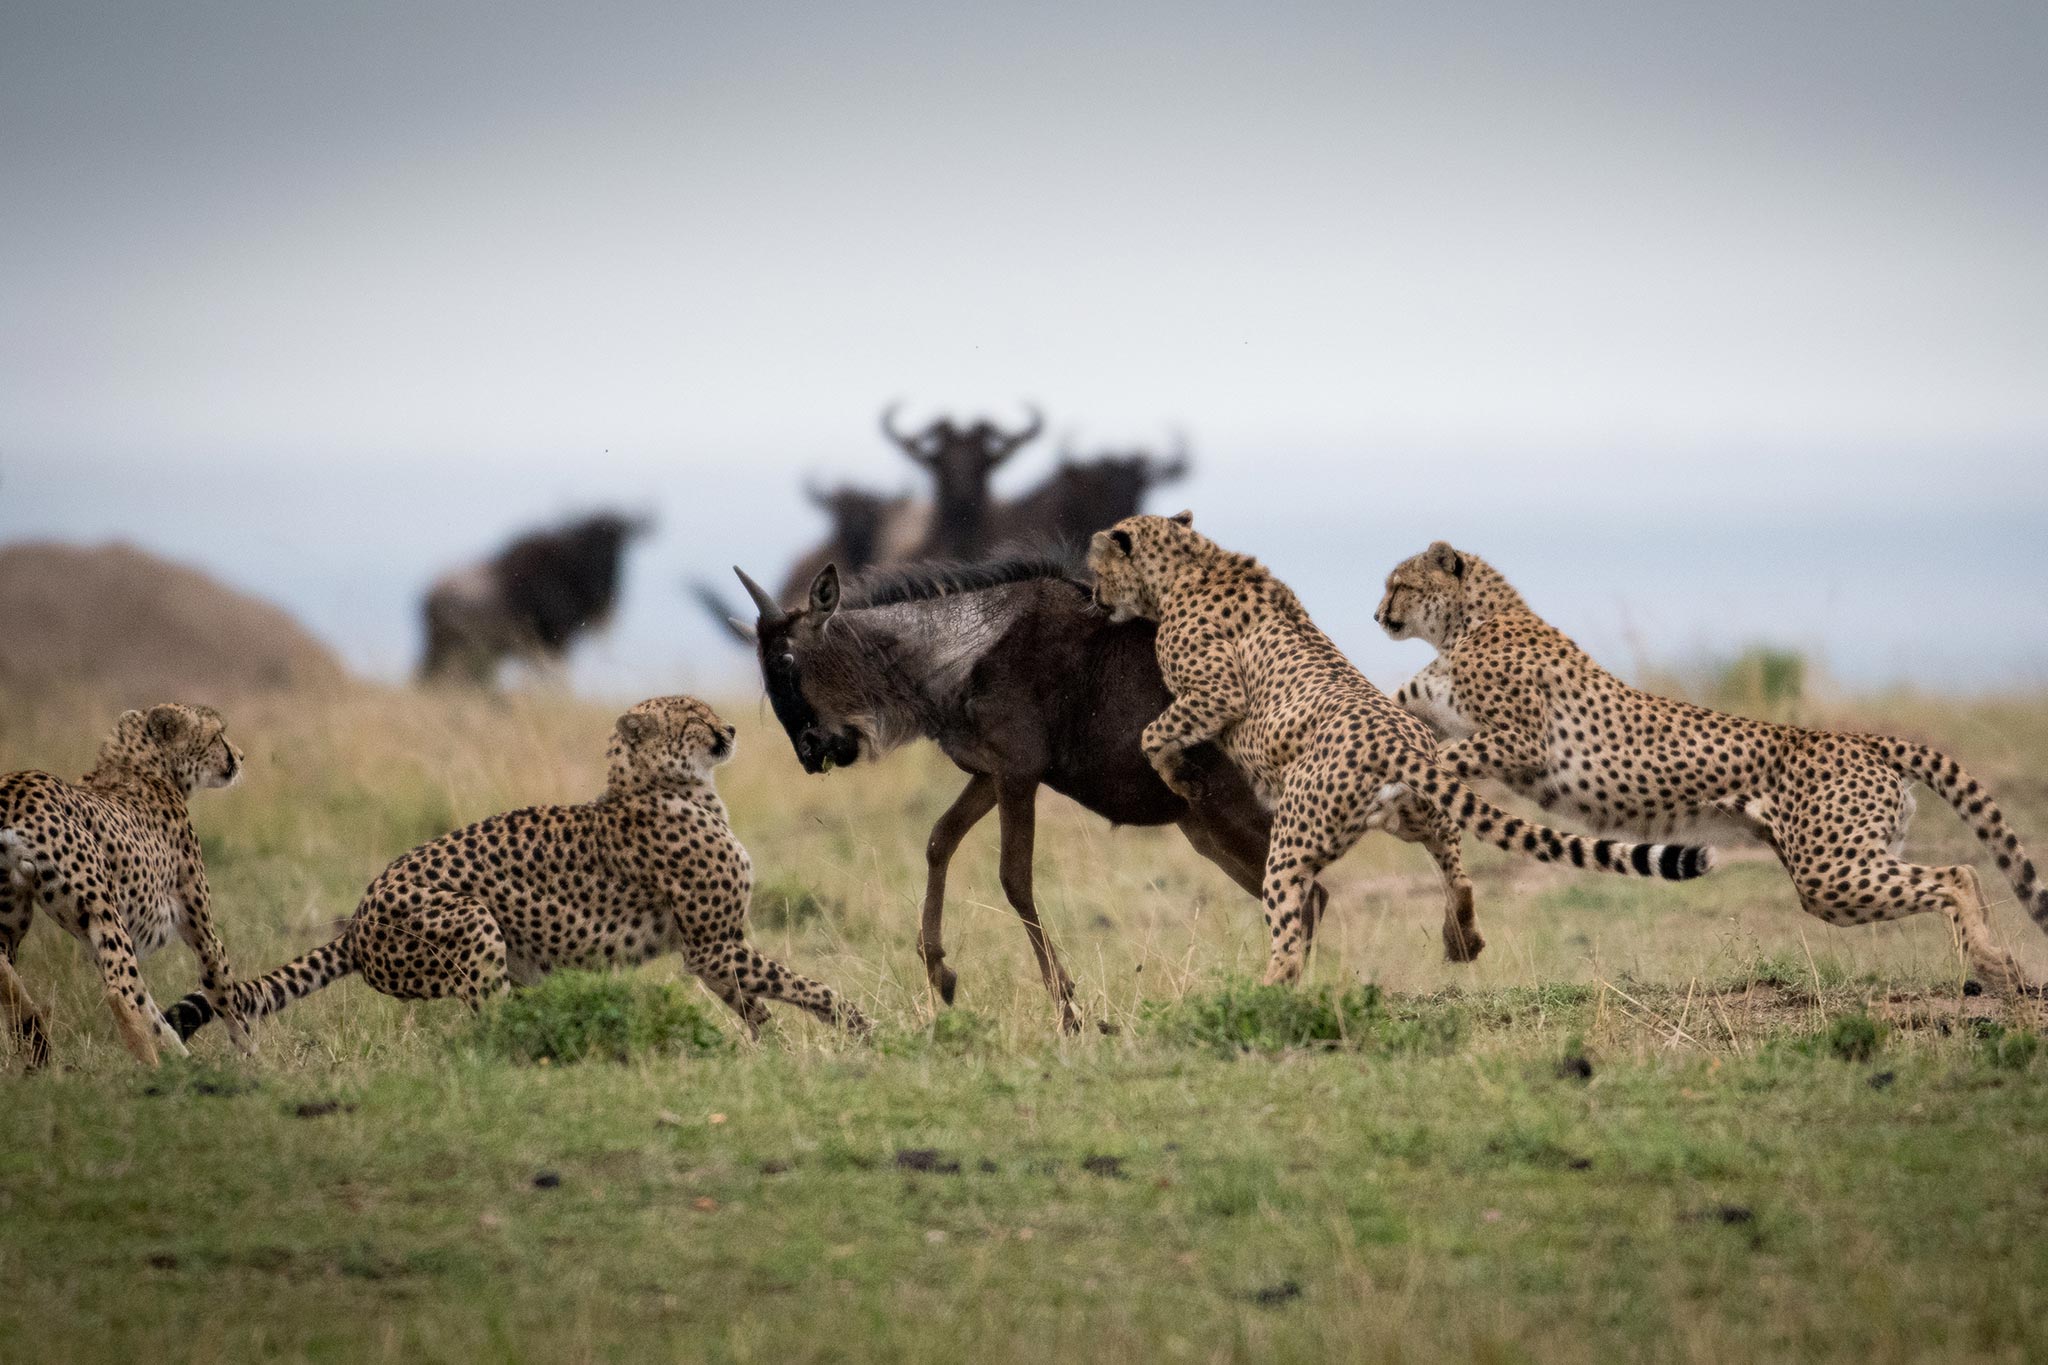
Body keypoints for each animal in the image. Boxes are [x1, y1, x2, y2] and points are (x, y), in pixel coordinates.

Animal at [2, 712, 247, 1072]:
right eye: (218, 735)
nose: (241, 756)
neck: (143, 764)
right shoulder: (202, 931)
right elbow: (224, 990)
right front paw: (253, 1058)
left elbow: (150, 1007)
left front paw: (180, 1056)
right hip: (103, 909)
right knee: (118, 990)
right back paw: (149, 1064)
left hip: (18, 918)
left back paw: (34, 1037)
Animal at [169, 699, 872, 1039]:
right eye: (693, 717)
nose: (728, 728)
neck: (674, 787)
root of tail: (360, 916)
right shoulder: (713, 942)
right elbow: (804, 985)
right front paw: (858, 1025)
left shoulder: (709, 951)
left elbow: (755, 1004)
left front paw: (778, 1052)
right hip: (472, 924)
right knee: (489, 1027)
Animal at [1089, 511, 1712, 982]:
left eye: (1096, 569)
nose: (1093, 597)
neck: (1192, 562)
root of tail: (1397, 738)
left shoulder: (1217, 692)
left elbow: (1154, 733)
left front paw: (1179, 776)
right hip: (1415, 814)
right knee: (1458, 873)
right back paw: (1462, 939)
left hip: (1292, 844)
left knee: (1289, 938)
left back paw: (1264, 996)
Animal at [1376, 540, 2048, 998]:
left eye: (1398, 585)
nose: (1378, 615)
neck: (1470, 621)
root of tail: (1859, 737)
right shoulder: (1419, 709)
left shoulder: (1524, 743)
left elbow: (1439, 757)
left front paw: (1404, 790)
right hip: (1850, 860)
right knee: (1967, 871)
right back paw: (1999, 964)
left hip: (1830, 871)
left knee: (1956, 874)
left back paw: (1992, 963)